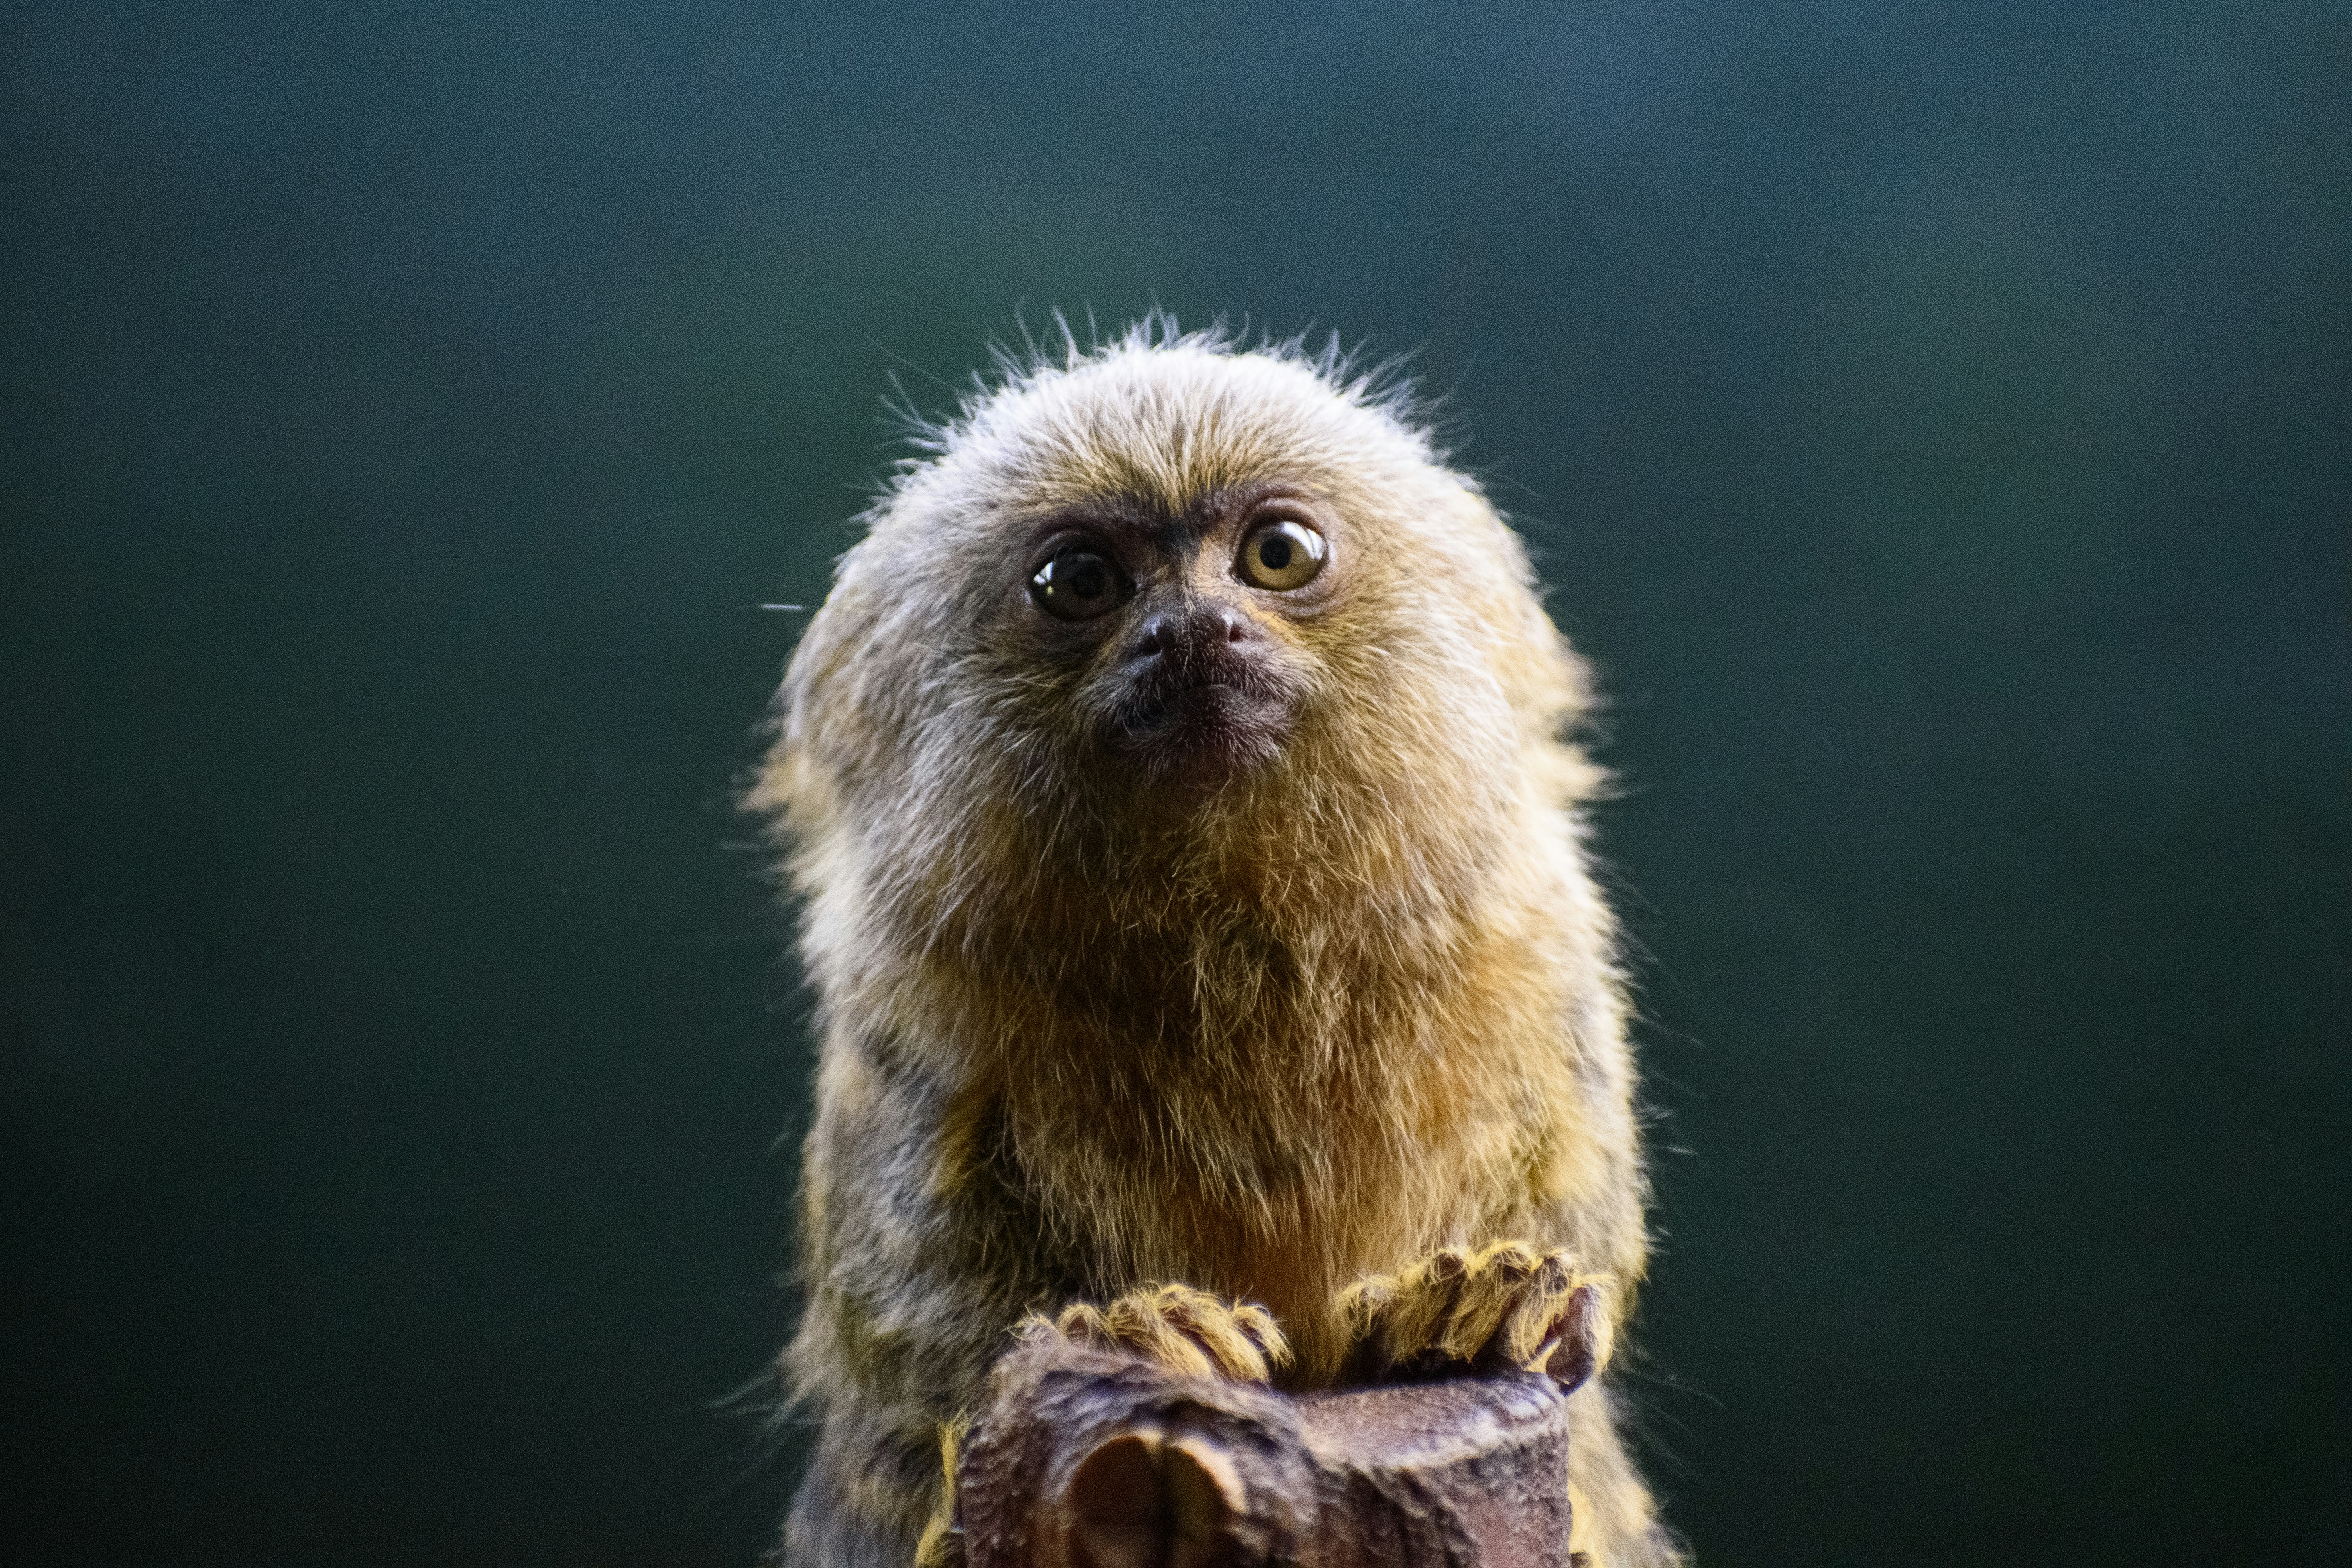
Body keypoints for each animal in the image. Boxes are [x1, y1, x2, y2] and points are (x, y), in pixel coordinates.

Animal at [746, 315, 1681, 1568]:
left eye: (1277, 554)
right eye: (1080, 581)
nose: (1191, 629)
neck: (1234, 941)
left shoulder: (1536, 944)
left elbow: (1583, 1211)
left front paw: (1499, 1299)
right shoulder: (914, 1007)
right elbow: (905, 1306)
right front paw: (1138, 1327)